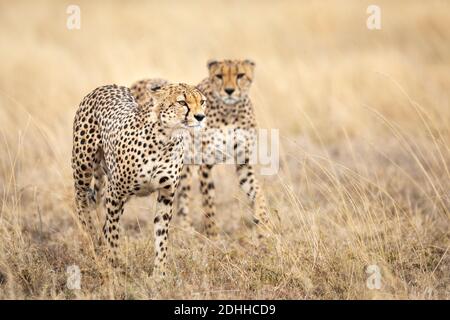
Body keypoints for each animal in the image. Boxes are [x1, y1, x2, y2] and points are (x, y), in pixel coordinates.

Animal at [71, 83, 207, 276]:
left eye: (202, 102)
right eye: (182, 102)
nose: (200, 117)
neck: (166, 138)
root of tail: (106, 86)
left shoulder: (166, 194)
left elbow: (161, 236)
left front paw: (159, 274)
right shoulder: (115, 193)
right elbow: (113, 232)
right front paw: (114, 264)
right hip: (83, 168)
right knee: (82, 199)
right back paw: (92, 238)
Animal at [132, 58, 268, 238]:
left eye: (240, 75)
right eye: (219, 76)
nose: (229, 91)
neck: (230, 111)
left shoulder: (243, 162)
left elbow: (258, 192)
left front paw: (264, 225)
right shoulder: (205, 164)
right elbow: (209, 201)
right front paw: (213, 234)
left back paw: (185, 228)